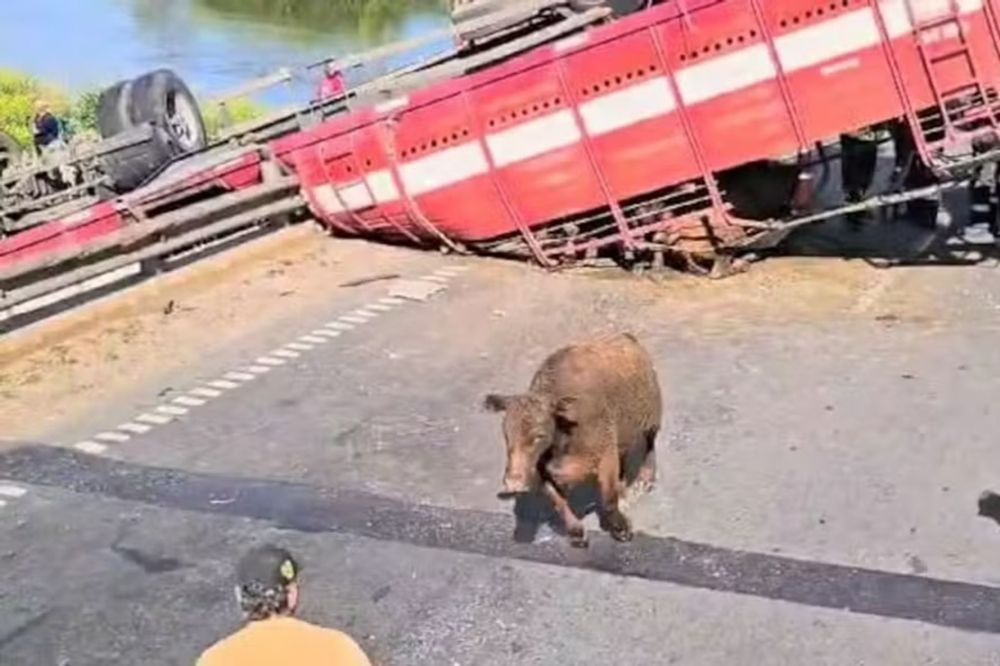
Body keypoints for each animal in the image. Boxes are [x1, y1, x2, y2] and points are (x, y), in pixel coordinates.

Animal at [484, 332, 664, 544]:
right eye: (506, 434)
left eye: (539, 435)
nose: (513, 482)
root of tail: (626, 336)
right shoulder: (543, 471)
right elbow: (558, 500)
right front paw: (575, 531)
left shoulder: (605, 454)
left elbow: (608, 497)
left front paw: (620, 528)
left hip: (651, 417)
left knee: (650, 444)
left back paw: (646, 477)